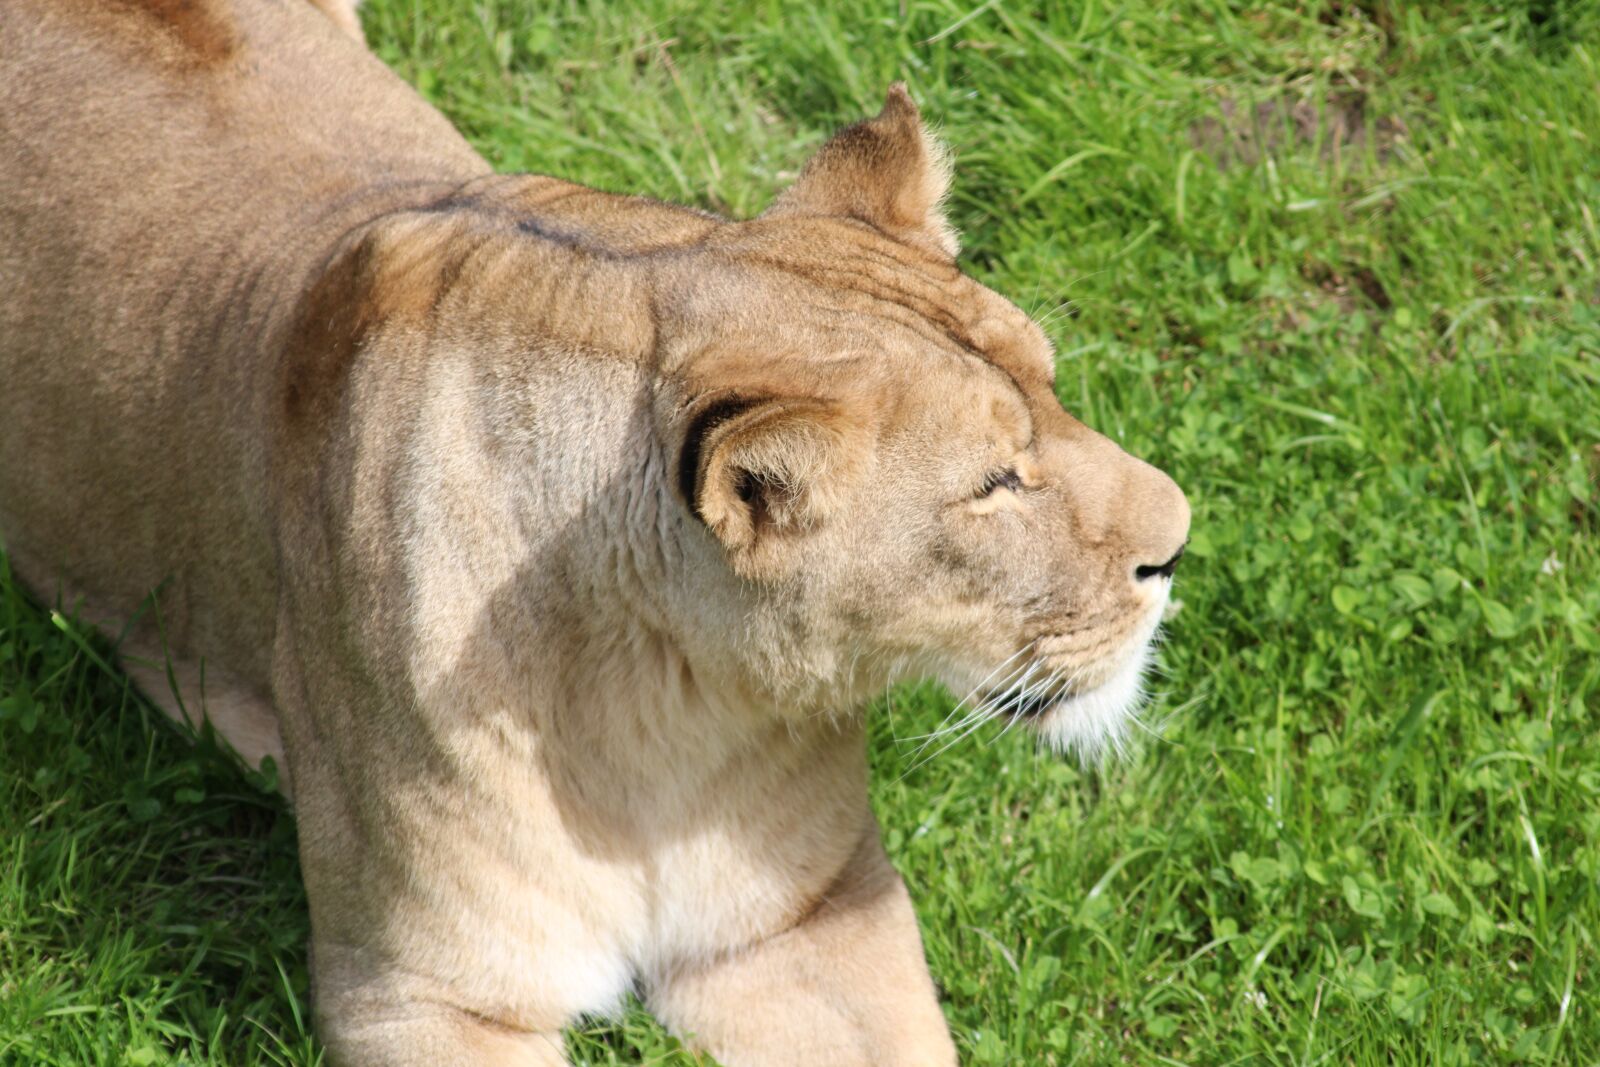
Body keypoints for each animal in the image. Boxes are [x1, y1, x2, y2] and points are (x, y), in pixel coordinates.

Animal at [0, 0, 1190, 1063]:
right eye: (992, 483)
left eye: (1053, 386)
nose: (1178, 543)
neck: (660, 704)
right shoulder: (417, 992)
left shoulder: (802, 917)